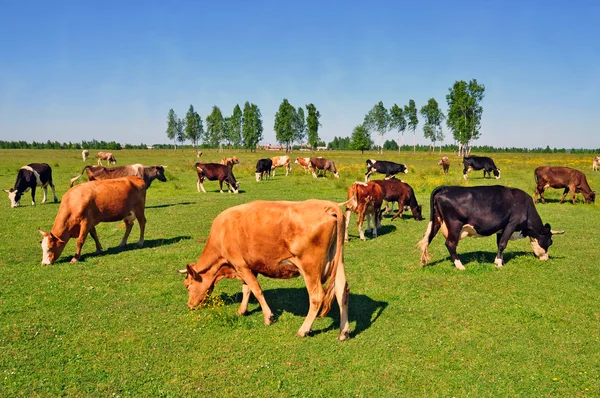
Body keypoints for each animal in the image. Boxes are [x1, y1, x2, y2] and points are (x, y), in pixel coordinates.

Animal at [177, 201, 352, 340]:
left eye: (187, 286)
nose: (189, 305)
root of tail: (328, 206)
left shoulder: (240, 264)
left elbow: (256, 289)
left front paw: (268, 317)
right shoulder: (249, 266)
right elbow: (247, 289)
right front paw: (242, 310)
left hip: (310, 267)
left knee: (316, 296)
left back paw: (303, 330)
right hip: (338, 261)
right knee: (342, 291)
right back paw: (343, 332)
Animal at [418, 185, 564, 268]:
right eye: (550, 241)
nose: (545, 259)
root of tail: (446, 188)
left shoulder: (501, 228)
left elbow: (499, 243)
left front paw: (499, 260)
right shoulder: (511, 224)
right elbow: (503, 244)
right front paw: (499, 263)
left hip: (436, 222)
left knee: (427, 239)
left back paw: (424, 262)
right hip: (454, 224)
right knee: (450, 244)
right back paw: (459, 265)